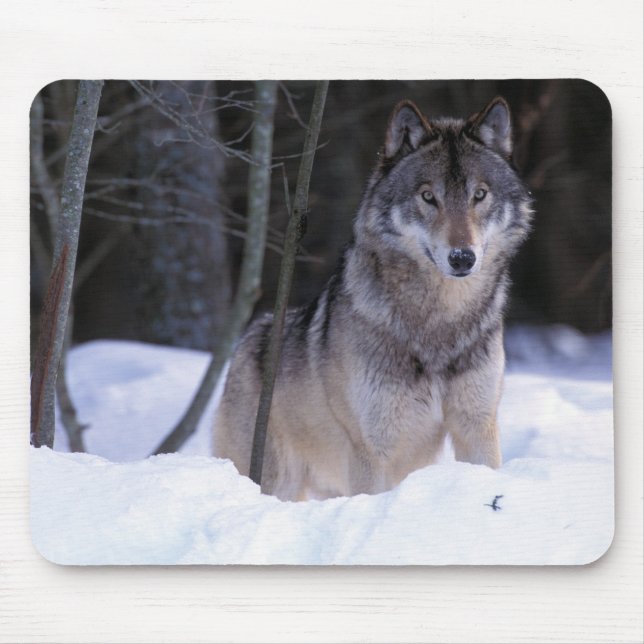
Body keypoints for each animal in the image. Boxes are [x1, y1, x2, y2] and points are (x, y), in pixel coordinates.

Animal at [214, 96, 533, 501]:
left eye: (479, 194)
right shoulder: (372, 449)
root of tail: (247, 339)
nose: (463, 257)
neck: (440, 323)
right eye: (428, 196)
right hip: (278, 480)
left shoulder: (477, 427)